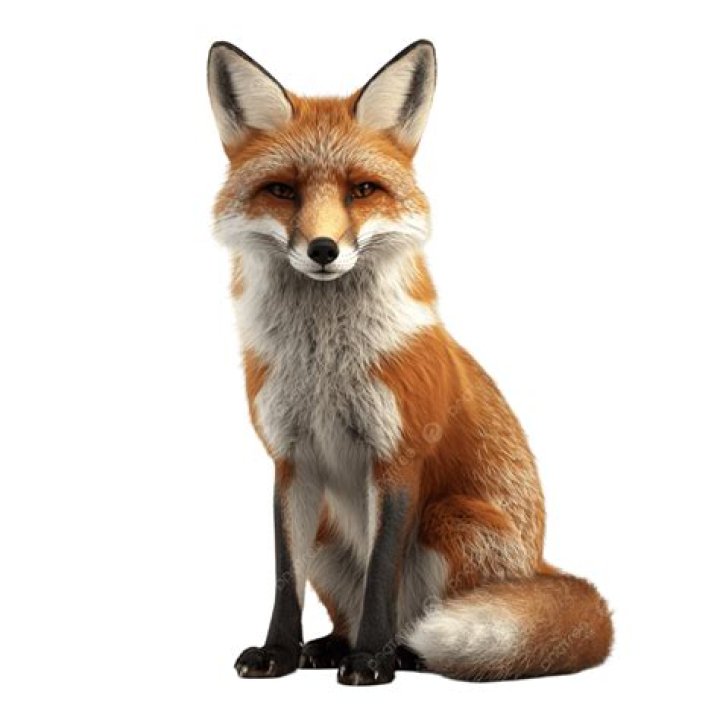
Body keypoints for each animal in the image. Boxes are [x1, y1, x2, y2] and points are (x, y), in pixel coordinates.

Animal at [206, 39, 613, 686]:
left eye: (363, 189)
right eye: (283, 191)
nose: (324, 250)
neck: (324, 365)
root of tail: (538, 564)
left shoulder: (397, 455)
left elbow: (381, 576)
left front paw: (372, 661)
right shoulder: (290, 460)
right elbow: (284, 577)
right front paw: (279, 653)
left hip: (453, 523)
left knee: (418, 617)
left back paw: (403, 652)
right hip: (327, 535)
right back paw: (331, 646)